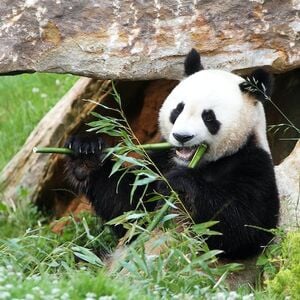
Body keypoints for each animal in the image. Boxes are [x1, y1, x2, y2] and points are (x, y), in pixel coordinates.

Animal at [65, 49, 278, 260]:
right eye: (178, 109)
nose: (182, 137)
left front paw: (181, 182)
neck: (199, 163)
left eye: (209, 117)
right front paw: (85, 153)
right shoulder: (161, 161)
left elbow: (244, 227)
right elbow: (128, 207)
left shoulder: (252, 163)